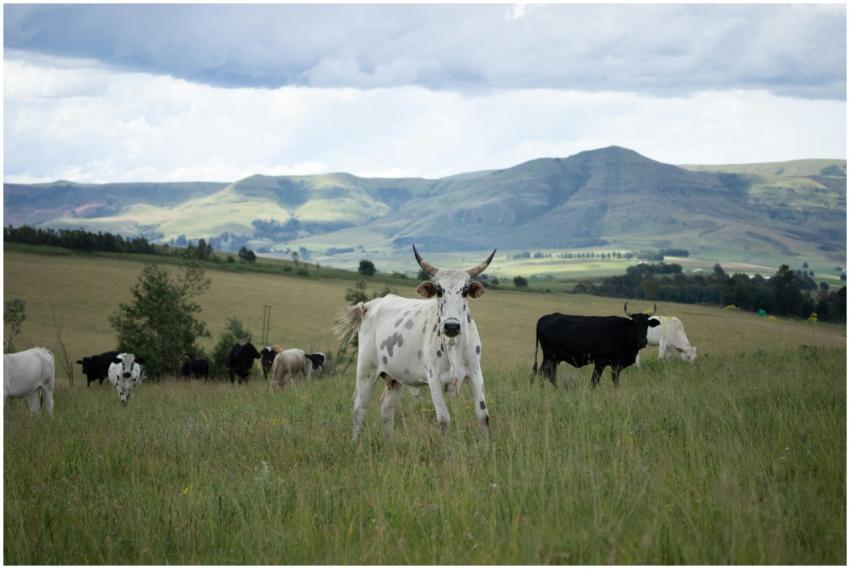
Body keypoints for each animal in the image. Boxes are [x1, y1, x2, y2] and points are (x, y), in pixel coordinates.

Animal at [337, 244, 495, 440]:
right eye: (439, 290)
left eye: (465, 291)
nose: (451, 326)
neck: (453, 345)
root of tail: (369, 305)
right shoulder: (434, 378)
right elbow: (444, 419)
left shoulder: (475, 373)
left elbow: (483, 416)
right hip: (366, 370)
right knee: (360, 408)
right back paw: (355, 443)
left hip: (393, 377)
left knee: (386, 408)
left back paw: (391, 442)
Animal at [531, 303, 661, 388]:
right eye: (634, 324)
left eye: (647, 324)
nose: (643, 341)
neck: (622, 332)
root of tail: (544, 318)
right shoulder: (600, 362)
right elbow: (594, 381)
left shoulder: (616, 365)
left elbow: (615, 381)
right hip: (550, 357)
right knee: (543, 373)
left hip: (552, 359)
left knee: (549, 374)